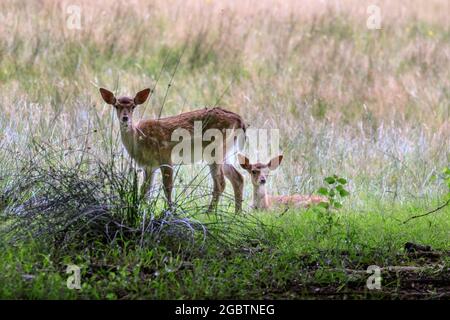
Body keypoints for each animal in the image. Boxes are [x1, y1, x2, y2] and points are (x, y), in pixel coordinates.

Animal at [100, 87, 246, 212]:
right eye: (116, 106)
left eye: (133, 106)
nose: (125, 118)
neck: (139, 140)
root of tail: (240, 120)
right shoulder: (149, 166)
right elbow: (145, 189)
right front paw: (141, 209)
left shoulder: (165, 156)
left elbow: (168, 187)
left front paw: (170, 211)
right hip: (226, 151)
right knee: (238, 177)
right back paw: (237, 214)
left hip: (215, 150)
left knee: (220, 183)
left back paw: (209, 213)